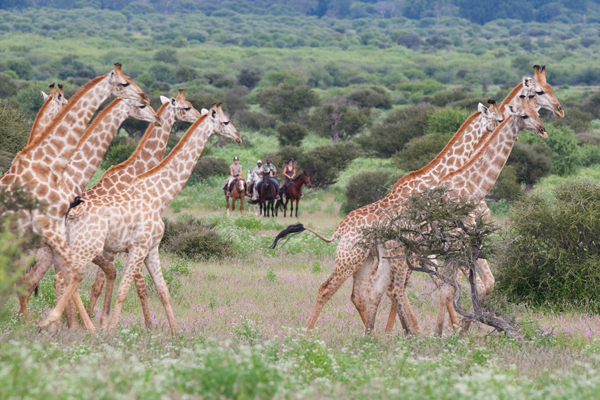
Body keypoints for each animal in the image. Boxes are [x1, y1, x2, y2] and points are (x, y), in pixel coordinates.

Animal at [63, 103, 241, 334]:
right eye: (226, 121)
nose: (238, 137)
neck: (159, 195)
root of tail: (70, 214)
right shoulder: (138, 247)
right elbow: (125, 289)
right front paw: (111, 330)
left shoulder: (152, 249)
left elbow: (163, 290)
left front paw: (174, 334)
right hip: (87, 247)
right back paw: (84, 327)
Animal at [366, 94, 548, 334]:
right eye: (524, 115)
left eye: (538, 112)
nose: (543, 130)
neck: (471, 186)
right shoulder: (455, 248)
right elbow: (450, 290)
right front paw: (447, 334)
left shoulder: (468, 247)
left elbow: (474, 286)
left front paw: (462, 329)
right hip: (401, 255)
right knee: (394, 289)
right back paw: (409, 333)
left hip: (392, 255)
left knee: (378, 288)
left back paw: (373, 335)